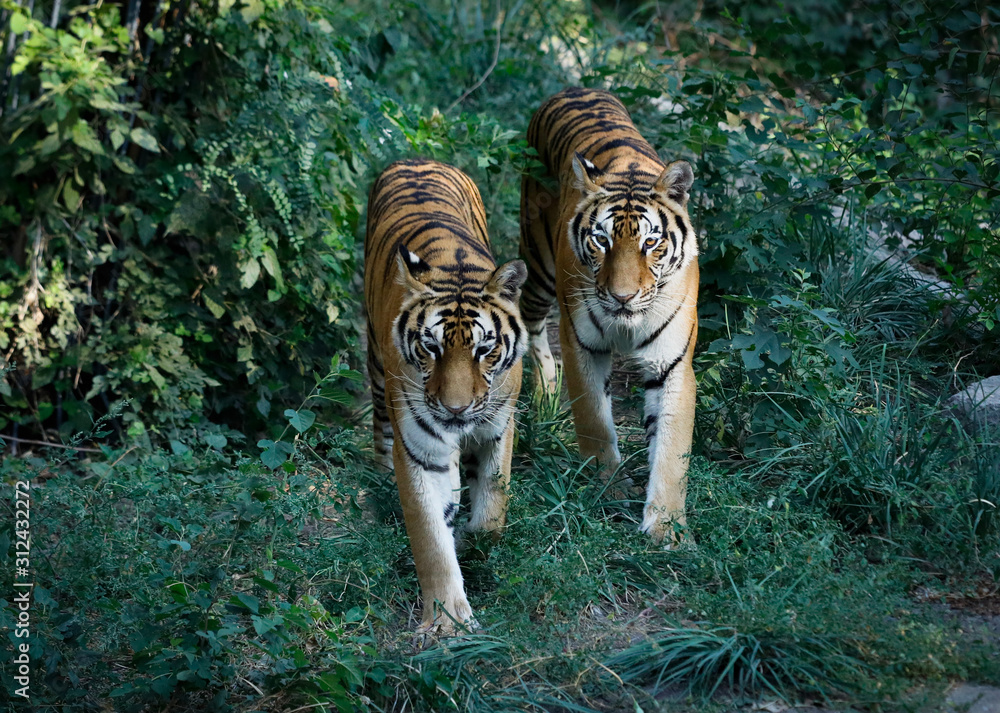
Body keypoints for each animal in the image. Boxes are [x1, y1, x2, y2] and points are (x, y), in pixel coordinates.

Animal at [364, 159, 528, 634]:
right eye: (431, 347)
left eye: (484, 350)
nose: (456, 409)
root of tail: (417, 159)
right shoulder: (420, 449)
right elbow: (430, 537)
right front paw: (446, 620)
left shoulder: (499, 425)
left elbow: (493, 509)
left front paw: (475, 542)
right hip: (376, 365)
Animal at [518, 87, 699, 545]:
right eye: (601, 240)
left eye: (651, 242)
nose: (622, 297)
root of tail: (573, 88)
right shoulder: (581, 344)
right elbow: (595, 421)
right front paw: (610, 488)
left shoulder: (672, 363)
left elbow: (671, 450)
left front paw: (666, 527)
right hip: (538, 264)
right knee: (531, 327)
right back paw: (545, 394)